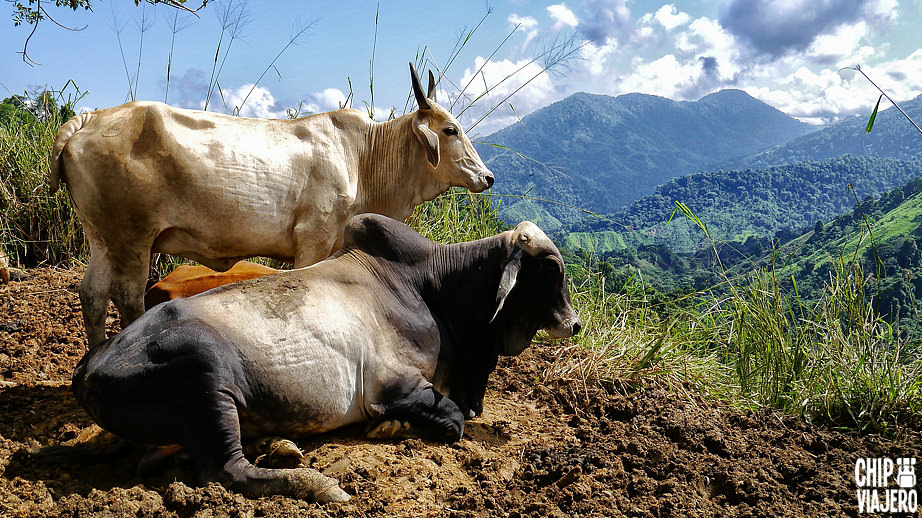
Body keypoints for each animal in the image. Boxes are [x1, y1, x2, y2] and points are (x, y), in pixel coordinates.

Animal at [49, 66, 492, 350]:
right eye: (450, 130)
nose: (487, 178)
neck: (364, 158)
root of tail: (89, 118)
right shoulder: (312, 239)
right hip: (133, 237)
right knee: (126, 294)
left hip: (102, 236)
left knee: (92, 293)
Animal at [72, 214, 580, 504]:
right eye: (551, 268)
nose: (575, 325)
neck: (432, 290)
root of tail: (89, 369)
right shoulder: (396, 385)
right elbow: (453, 419)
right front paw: (391, 427)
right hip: (207, 372)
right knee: (229, 470)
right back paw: (316, 483)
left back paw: (279, 444)